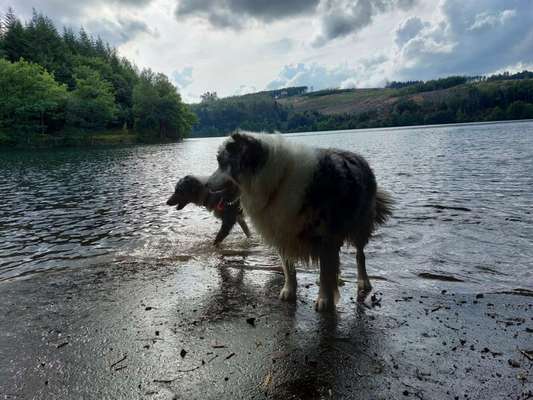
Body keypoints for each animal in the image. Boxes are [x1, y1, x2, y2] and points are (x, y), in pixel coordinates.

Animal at [207, 133, 390, 310]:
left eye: (222, 163)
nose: (207, 183)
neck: (275, 182)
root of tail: (358, 156)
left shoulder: (326, 236)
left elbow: (325, 270)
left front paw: (325, 300)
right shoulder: (282, 230)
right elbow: (289, 268)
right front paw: (289, 291)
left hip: (361, 223)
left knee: (360, 255)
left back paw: (363, 281)